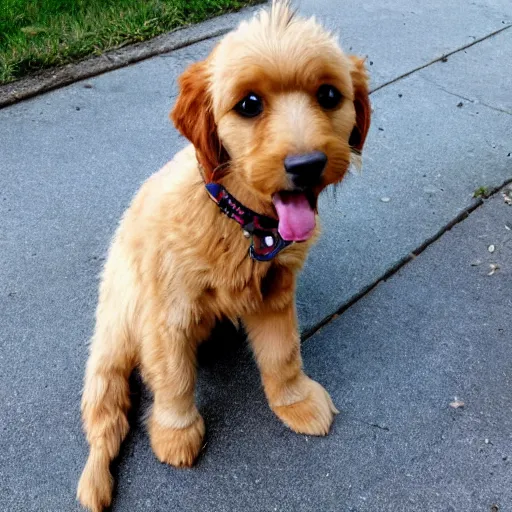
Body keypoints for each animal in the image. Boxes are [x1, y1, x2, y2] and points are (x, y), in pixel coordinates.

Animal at [77, 2, 368, 510]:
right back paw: (95, 481)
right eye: (249, 104)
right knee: (105, 418)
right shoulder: (167, 314)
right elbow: (174, 377)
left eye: (330, 95)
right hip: (113, 338)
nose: (307, 165)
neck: (242, 223)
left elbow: (283, 354)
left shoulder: (275, 294)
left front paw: (294, 401)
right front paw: (175, 433)